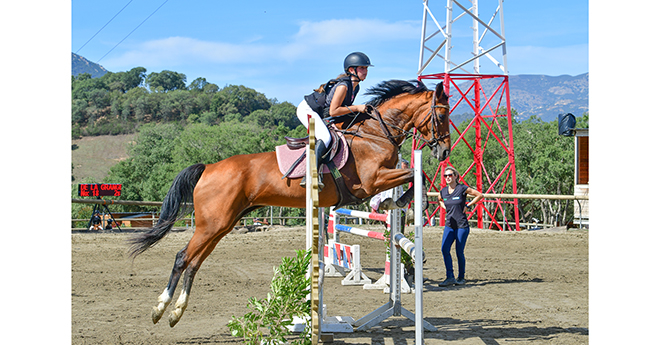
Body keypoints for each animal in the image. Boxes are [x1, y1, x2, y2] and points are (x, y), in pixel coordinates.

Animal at [126, 78, 452, 326]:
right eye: (442, 115)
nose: (445, 151)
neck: (375, 134)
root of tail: (208, 168)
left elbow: (413, 173)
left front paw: (398, 203)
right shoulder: (372, 181)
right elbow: (415, 173)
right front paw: (404, 202)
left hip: (222, 224)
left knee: (194, 262)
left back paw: (176, 312)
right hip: (212, 224)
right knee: (183, 258)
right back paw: (161, 309)